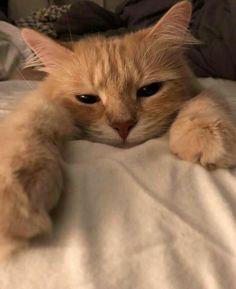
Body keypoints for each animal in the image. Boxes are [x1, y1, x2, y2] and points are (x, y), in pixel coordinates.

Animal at [0, 0, 236, 256]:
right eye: (87, 98)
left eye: (149, 90)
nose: (123, 126)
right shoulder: (39, 103)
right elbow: (28, 127)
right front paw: (17, 197)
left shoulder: (200, 87)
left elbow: (207, 100)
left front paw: (205, 136)